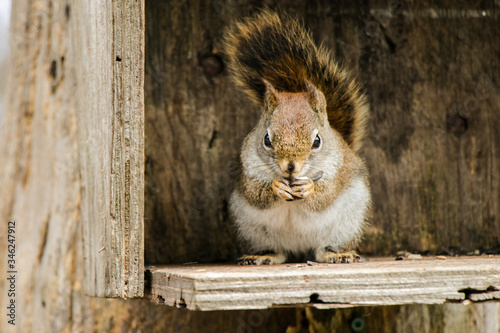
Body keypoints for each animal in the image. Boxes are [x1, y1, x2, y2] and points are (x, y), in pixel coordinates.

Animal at [225, 9, 370, 264]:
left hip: (346, 226)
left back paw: (337, 254)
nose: (290, 167)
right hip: (253, 231)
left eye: (317, 141)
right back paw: (263, 256)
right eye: (266, 139)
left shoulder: (338, 171)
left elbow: (326, 195)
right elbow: (255, 193)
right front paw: (276, 187)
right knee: (277, 251)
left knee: (323, 250)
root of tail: (299, 248)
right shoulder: (246, 171)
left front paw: (308, 189)